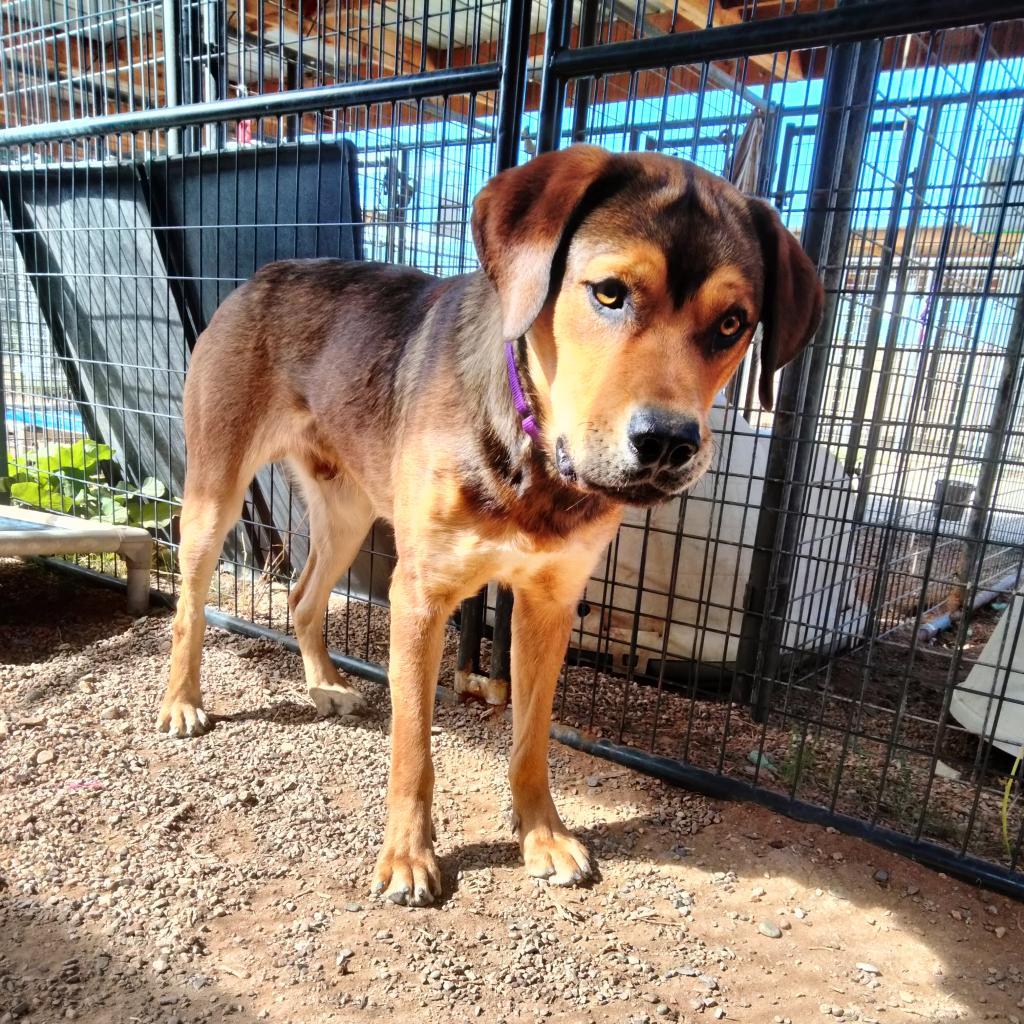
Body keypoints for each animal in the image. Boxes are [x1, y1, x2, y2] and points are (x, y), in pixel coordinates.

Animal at [155, 142, 819, 905]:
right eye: (609, 293)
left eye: (733, 323)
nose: (668, 443)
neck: (532, 454)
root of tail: (267, 272)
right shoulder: (420, 597)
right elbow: (413, 747)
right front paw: (408, 857)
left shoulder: (548, 603)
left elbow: (531, 739)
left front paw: (542, 836)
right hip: (216, 494)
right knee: (190, 604)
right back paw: (181, 702)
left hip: (347, 512)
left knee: (300, 597)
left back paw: (324, 685)